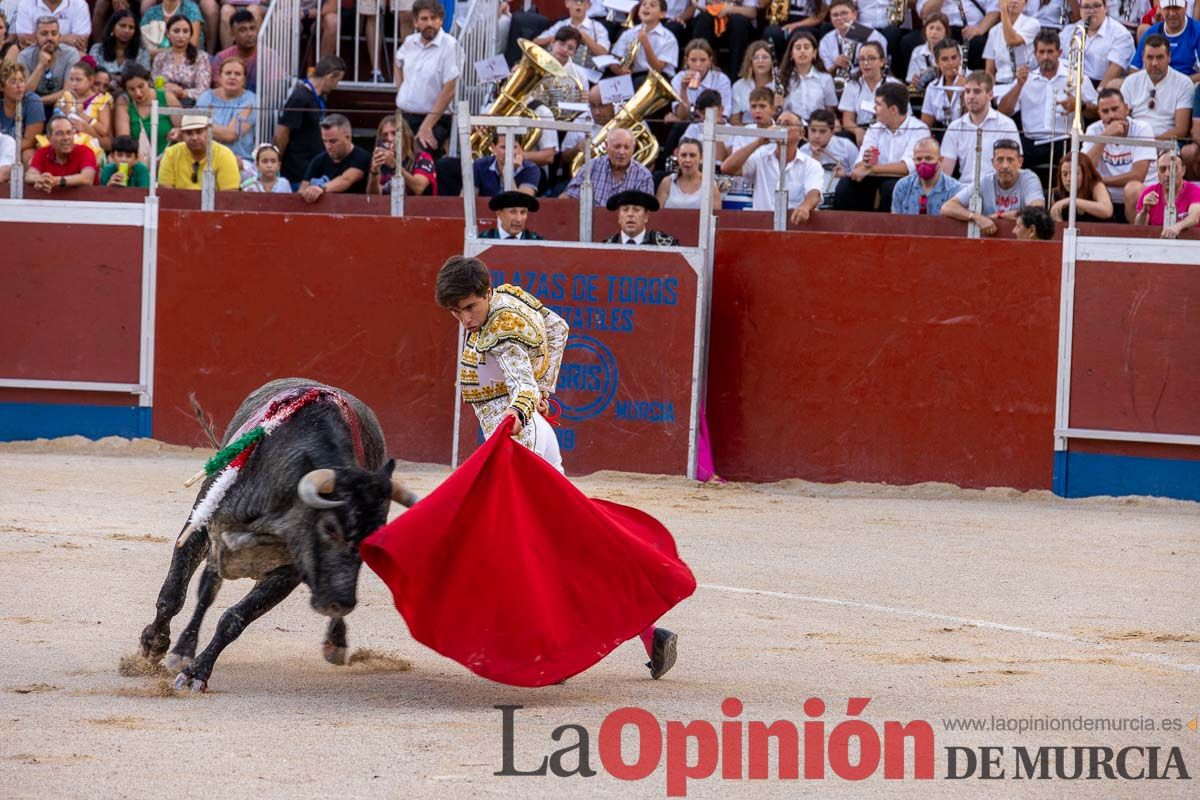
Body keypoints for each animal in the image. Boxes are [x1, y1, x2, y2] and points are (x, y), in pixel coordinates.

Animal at [135, 379, 415, 690]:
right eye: (329, 528)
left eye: (370, 538)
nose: (340, 601)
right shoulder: (201, 530)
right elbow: (173, 595)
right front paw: (154, 644)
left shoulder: (289, 572)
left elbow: (235, 617)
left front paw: (197, 672)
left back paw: (336, 641)